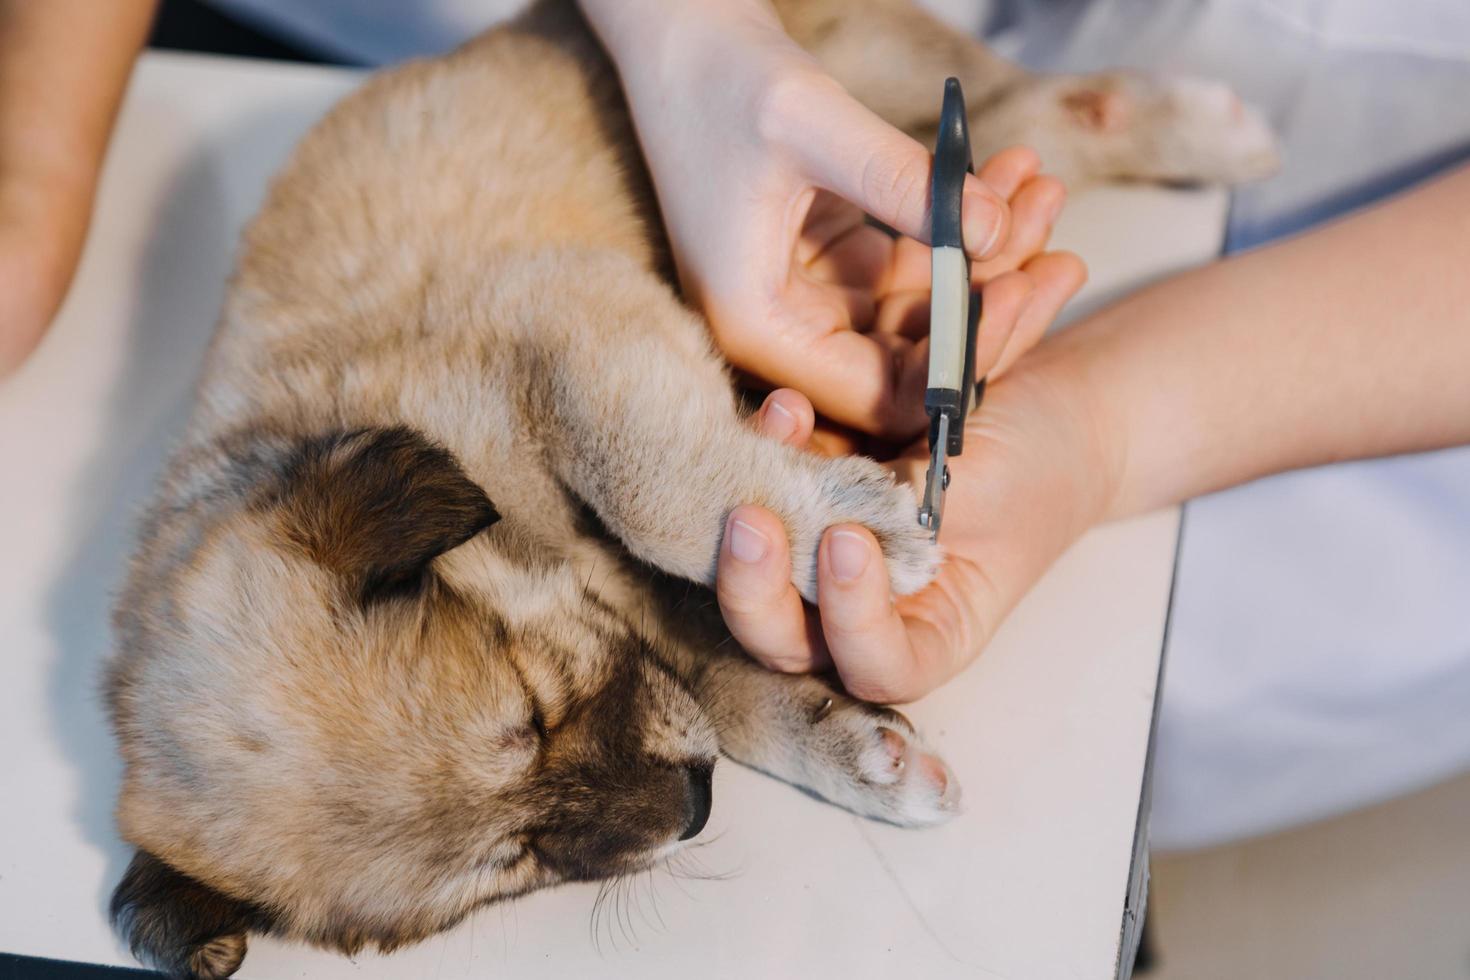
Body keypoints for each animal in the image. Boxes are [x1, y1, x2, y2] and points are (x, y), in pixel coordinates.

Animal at [103, 1, 1275, 980]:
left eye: (535, 708)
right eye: (515, 858)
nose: (699, 807)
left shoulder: (562, 318)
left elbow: (655, 488)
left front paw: (856, 527)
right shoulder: (655, 632)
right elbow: (726, 682)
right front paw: (863, 753)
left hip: (875, 86)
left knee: (1016, 129)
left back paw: (1211, 131)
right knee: (1031, 123)